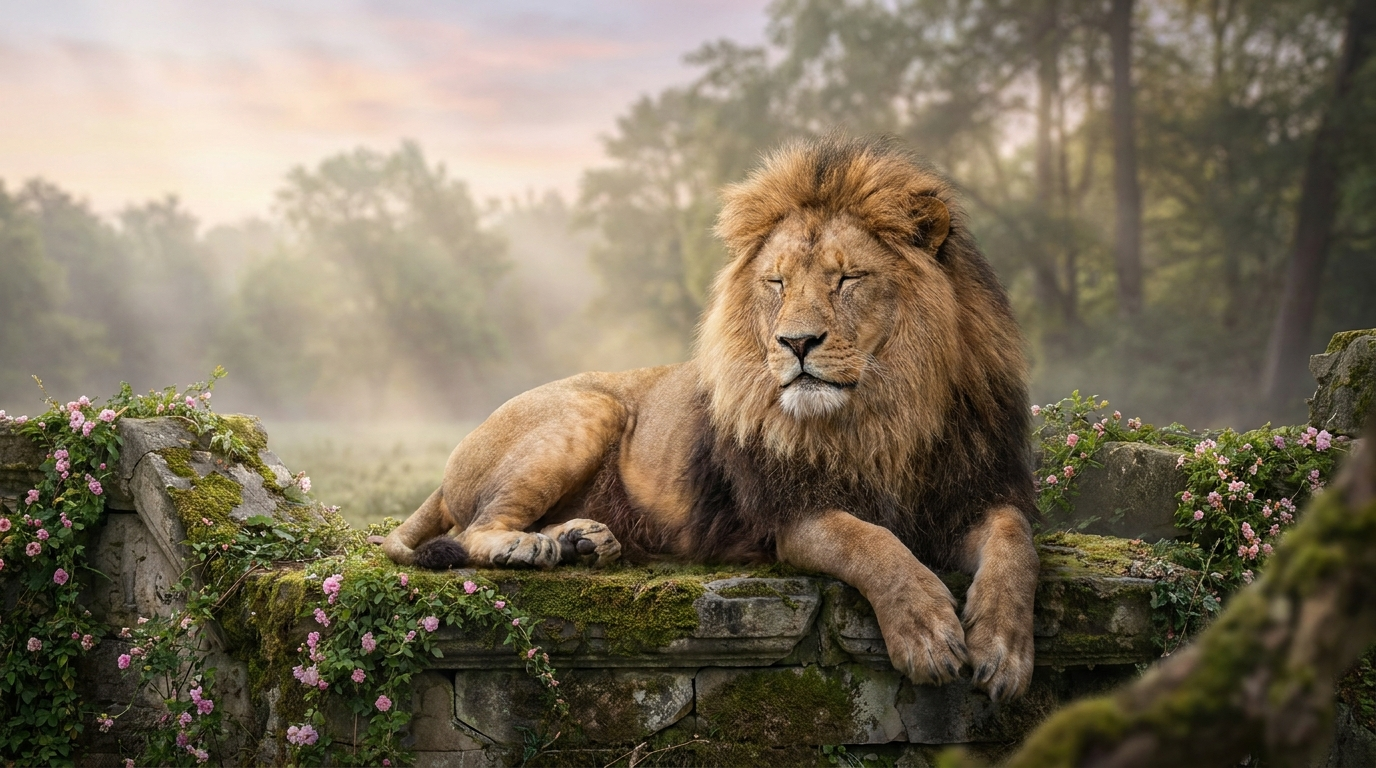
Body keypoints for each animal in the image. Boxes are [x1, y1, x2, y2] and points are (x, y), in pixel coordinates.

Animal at [382, 135, 1039, 701]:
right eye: (776, 282)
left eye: (849, 278)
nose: (796, 343)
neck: (883, 416)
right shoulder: (790, 514)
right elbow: (872, 543)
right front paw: (927, 632)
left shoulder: (971, 492)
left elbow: (1016, 543)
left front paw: (1004, 652)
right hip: (591, 408)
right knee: (473, 529)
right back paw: (530, 547)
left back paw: (581, 541)